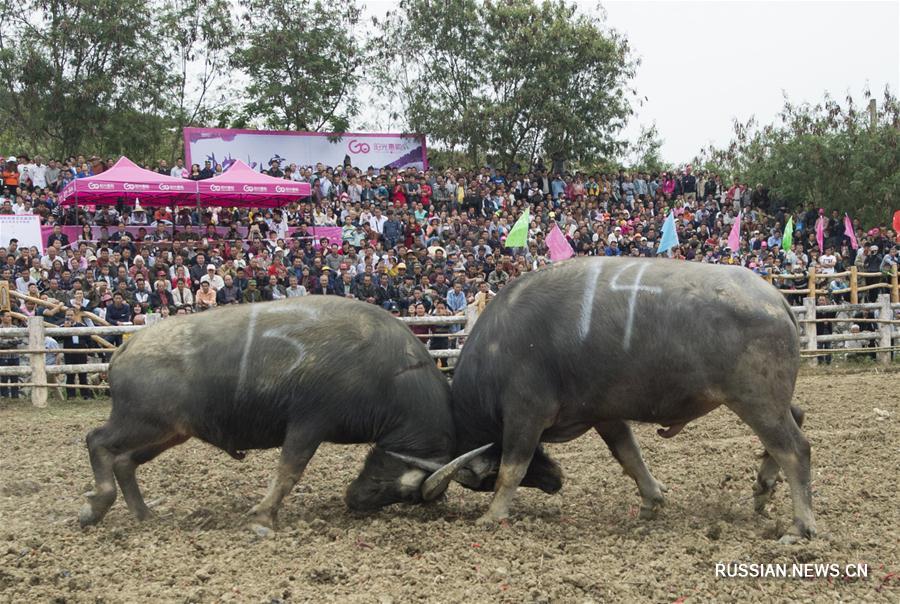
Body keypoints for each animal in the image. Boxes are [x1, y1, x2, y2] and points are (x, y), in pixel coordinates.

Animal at [77, 296, 486, 528]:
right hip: (142, 422)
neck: (387, 371)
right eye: (405, 490)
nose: (356, 501)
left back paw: (143, 514)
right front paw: (263, 515)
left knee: (124, 461)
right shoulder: (308, 424)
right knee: (97, 441)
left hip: (170, 431)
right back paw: (95, 506)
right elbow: (289, 471)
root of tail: (125, 349)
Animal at [424, 258, 816, 540]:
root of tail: (776, 299)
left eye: (483, 481)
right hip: (771, 402)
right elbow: (628, 455)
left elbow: (512, 468)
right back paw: (763, 488)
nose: (556, 480)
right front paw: (652, 500)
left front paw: (491, 515)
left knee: (794, 449)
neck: (499, 348)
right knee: (796, 417)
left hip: (757, 402)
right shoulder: (604, 415)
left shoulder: (524, 416)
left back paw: (800, 526)